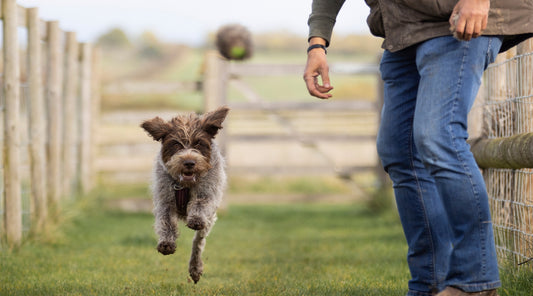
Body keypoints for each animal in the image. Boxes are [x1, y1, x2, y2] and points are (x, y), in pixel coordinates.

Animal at [139, 106, 229, 282]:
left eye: (199, 143)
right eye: (176, 144)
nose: (189, 162)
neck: (184, 185)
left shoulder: (208, 194)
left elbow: (200, 204)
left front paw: (195, 219)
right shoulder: (165, 200)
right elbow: (166, 221)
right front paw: (167, 243)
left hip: (209, 221)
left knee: (198, 242)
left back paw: (195, 267)